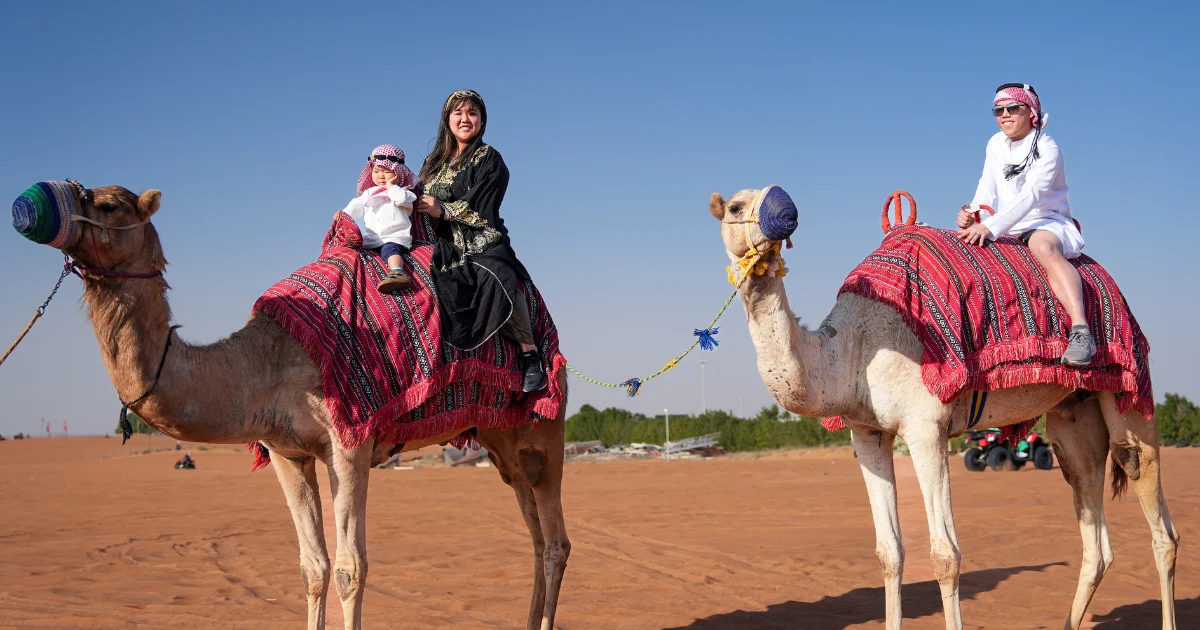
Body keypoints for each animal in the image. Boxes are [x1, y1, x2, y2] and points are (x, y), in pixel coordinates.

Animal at [35, 185, 570, 630]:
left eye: (108, 205)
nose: (39, 203)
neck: (264, 364)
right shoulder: (285, 452)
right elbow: (313, 567)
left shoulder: (349, 443)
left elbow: (352, 569)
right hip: (501, 442)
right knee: (535, 533)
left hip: (544, 426)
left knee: (556, 543)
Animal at [709, 188, 1178, 630]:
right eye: (734, 207)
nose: (785, 214)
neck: (853, 349)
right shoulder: (867, 433)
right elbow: (889, 553)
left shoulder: (925, 427)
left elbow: (945, 555)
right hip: (1072, 413)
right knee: (1093, 531)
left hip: (1129, 388)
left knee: (1156, 514)